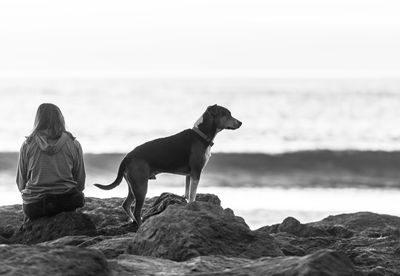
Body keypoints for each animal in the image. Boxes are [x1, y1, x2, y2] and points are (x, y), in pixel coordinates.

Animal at [94, 104, 241, 225]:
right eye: (226, 114)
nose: (240, 122)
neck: (201, 135)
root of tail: (127, 156)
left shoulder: (189, 174)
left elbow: (187, 191)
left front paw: (185, 200)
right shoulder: (196, 172)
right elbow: (193, 194)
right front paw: (193, 205)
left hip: (133, 184)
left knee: (126, 204)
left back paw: (132, 220)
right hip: (141, 186)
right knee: (136, 210)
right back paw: (140, 224)